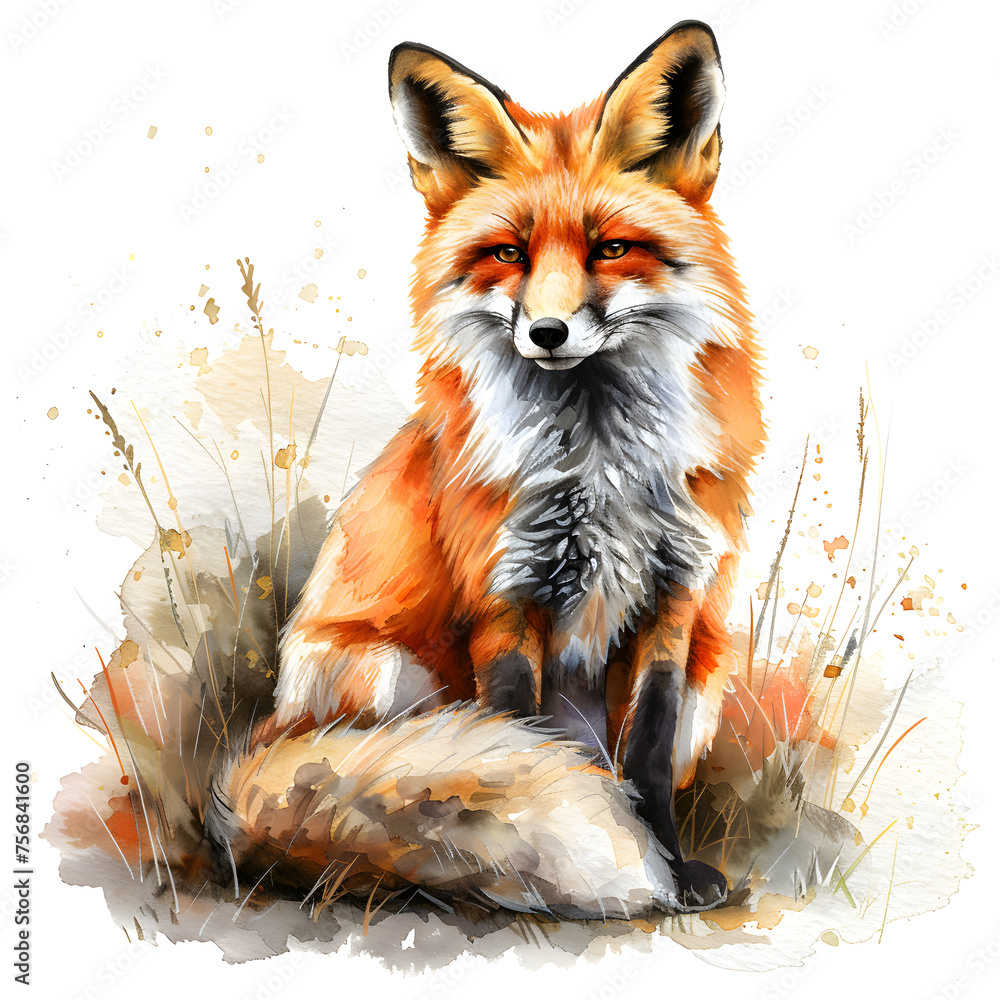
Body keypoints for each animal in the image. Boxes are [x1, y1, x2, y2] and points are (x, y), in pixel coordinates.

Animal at [209, 21, 764, 916]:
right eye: (508, 253)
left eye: (612, 249)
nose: (547, 332)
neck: (598, 467)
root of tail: (263, 739)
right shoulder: (504, 592)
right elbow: (518, 737)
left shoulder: (673, 598)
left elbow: (644, 757)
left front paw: (673, 869)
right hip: (381, 671)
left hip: (709, 687)